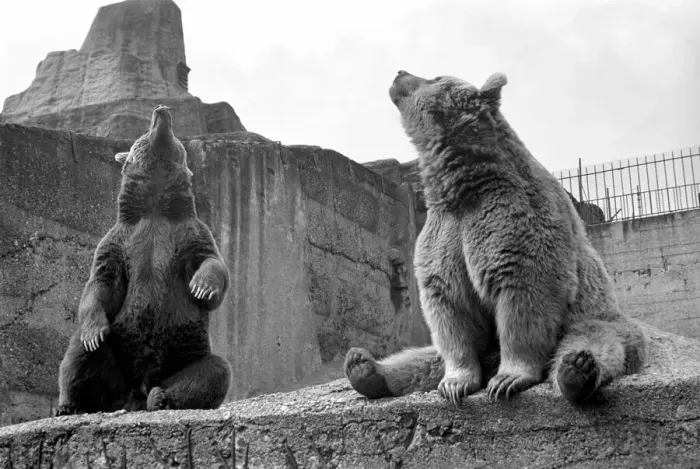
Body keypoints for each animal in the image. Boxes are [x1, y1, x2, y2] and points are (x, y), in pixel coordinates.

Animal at [56, 105, 231, 415]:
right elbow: (102, 282)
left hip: (185, 355)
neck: (155, 209)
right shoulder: (119, 241)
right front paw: (93, 332)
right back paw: (70, 404)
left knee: (212, 371)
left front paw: (202, 286)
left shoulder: (189, 234)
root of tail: (134, 394)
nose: (161, 110)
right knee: (80, 354)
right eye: (145, 131)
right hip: (117, 357)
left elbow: (210, 261)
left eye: (175, 137)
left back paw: (161, 398)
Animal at [345, 71, 648, 405]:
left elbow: (525, 293)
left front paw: (507, 379)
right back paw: (364, 367)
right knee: (422, 358)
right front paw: (455, 384)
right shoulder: (444, 233)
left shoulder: (515, 220)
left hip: (596, 317)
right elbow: (449, 308)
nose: (400, 73)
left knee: (594, 340)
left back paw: (575, 370)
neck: (463, 185)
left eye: (435, 76)